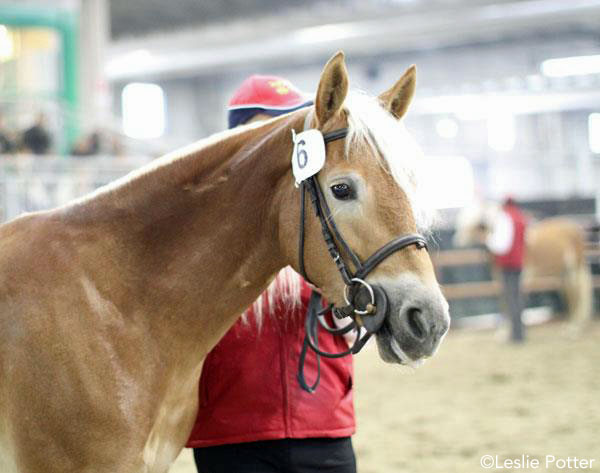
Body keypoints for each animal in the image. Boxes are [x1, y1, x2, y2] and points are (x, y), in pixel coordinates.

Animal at [454, 201, 592, 326]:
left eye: (475, 223)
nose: (457, 240)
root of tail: (576, 228)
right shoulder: (501, 279)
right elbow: (504, 303)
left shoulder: (524, 275)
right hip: (565, 272)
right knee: (570, 293)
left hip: (574, 269)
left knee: (576, 293)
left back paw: (575, 326)